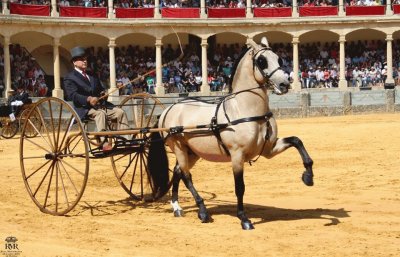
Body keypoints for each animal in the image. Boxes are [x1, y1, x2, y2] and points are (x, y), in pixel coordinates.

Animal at [148, 36, 314, 230]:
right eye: (262, 61)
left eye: (279, 59)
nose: (284, 84)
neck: (245, 110)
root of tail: (169, 109)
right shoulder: (237, 155)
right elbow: (239, 187)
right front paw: (244, 219)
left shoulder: (269, 149)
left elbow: (297, 140)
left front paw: (308, 176)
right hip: (179, 147)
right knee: (186, 176)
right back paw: (203, 211)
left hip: (192, 152)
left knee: (177, 172)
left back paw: (176, 207)